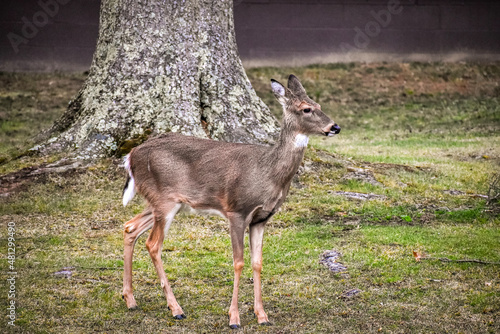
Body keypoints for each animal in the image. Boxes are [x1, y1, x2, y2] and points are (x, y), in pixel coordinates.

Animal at [120, 75, 340, 328]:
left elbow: (257, 262)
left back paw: (130, 299)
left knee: (130, 227)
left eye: (319, 105)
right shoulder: (237, 210)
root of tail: (130, 155)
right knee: (153, 244)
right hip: (164, 200)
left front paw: (262, 315)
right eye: (306, 109)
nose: (335, 127)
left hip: (165, 202)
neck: (268, 174)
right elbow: (238, 262)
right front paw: (234, 318)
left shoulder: (261, 218)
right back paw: (175, 308)